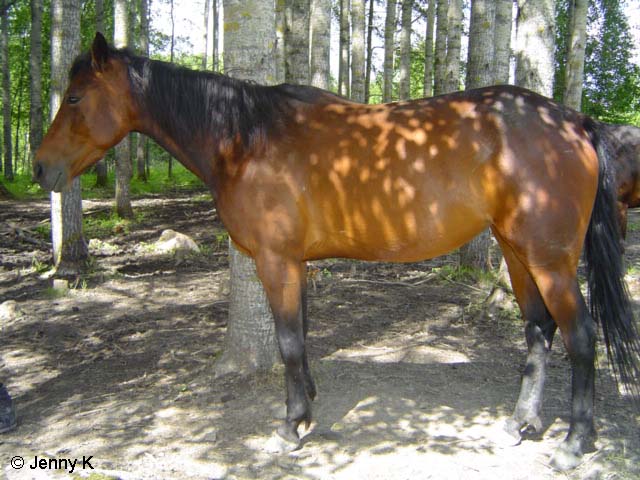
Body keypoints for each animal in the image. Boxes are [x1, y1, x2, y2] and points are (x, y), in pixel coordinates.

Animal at [34, 33, 640, 471]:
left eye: (75, 97)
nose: (41, 168)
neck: (247, 139)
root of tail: (572, 122)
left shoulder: (275, 261)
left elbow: (286, 341)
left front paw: (289, 427)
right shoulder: (294, 264)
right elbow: (300, 337)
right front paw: (306, 408)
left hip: (551, 261)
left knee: (580, 337)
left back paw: (573, 443)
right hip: (517, 254)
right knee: (539, 330)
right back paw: (520, 425)